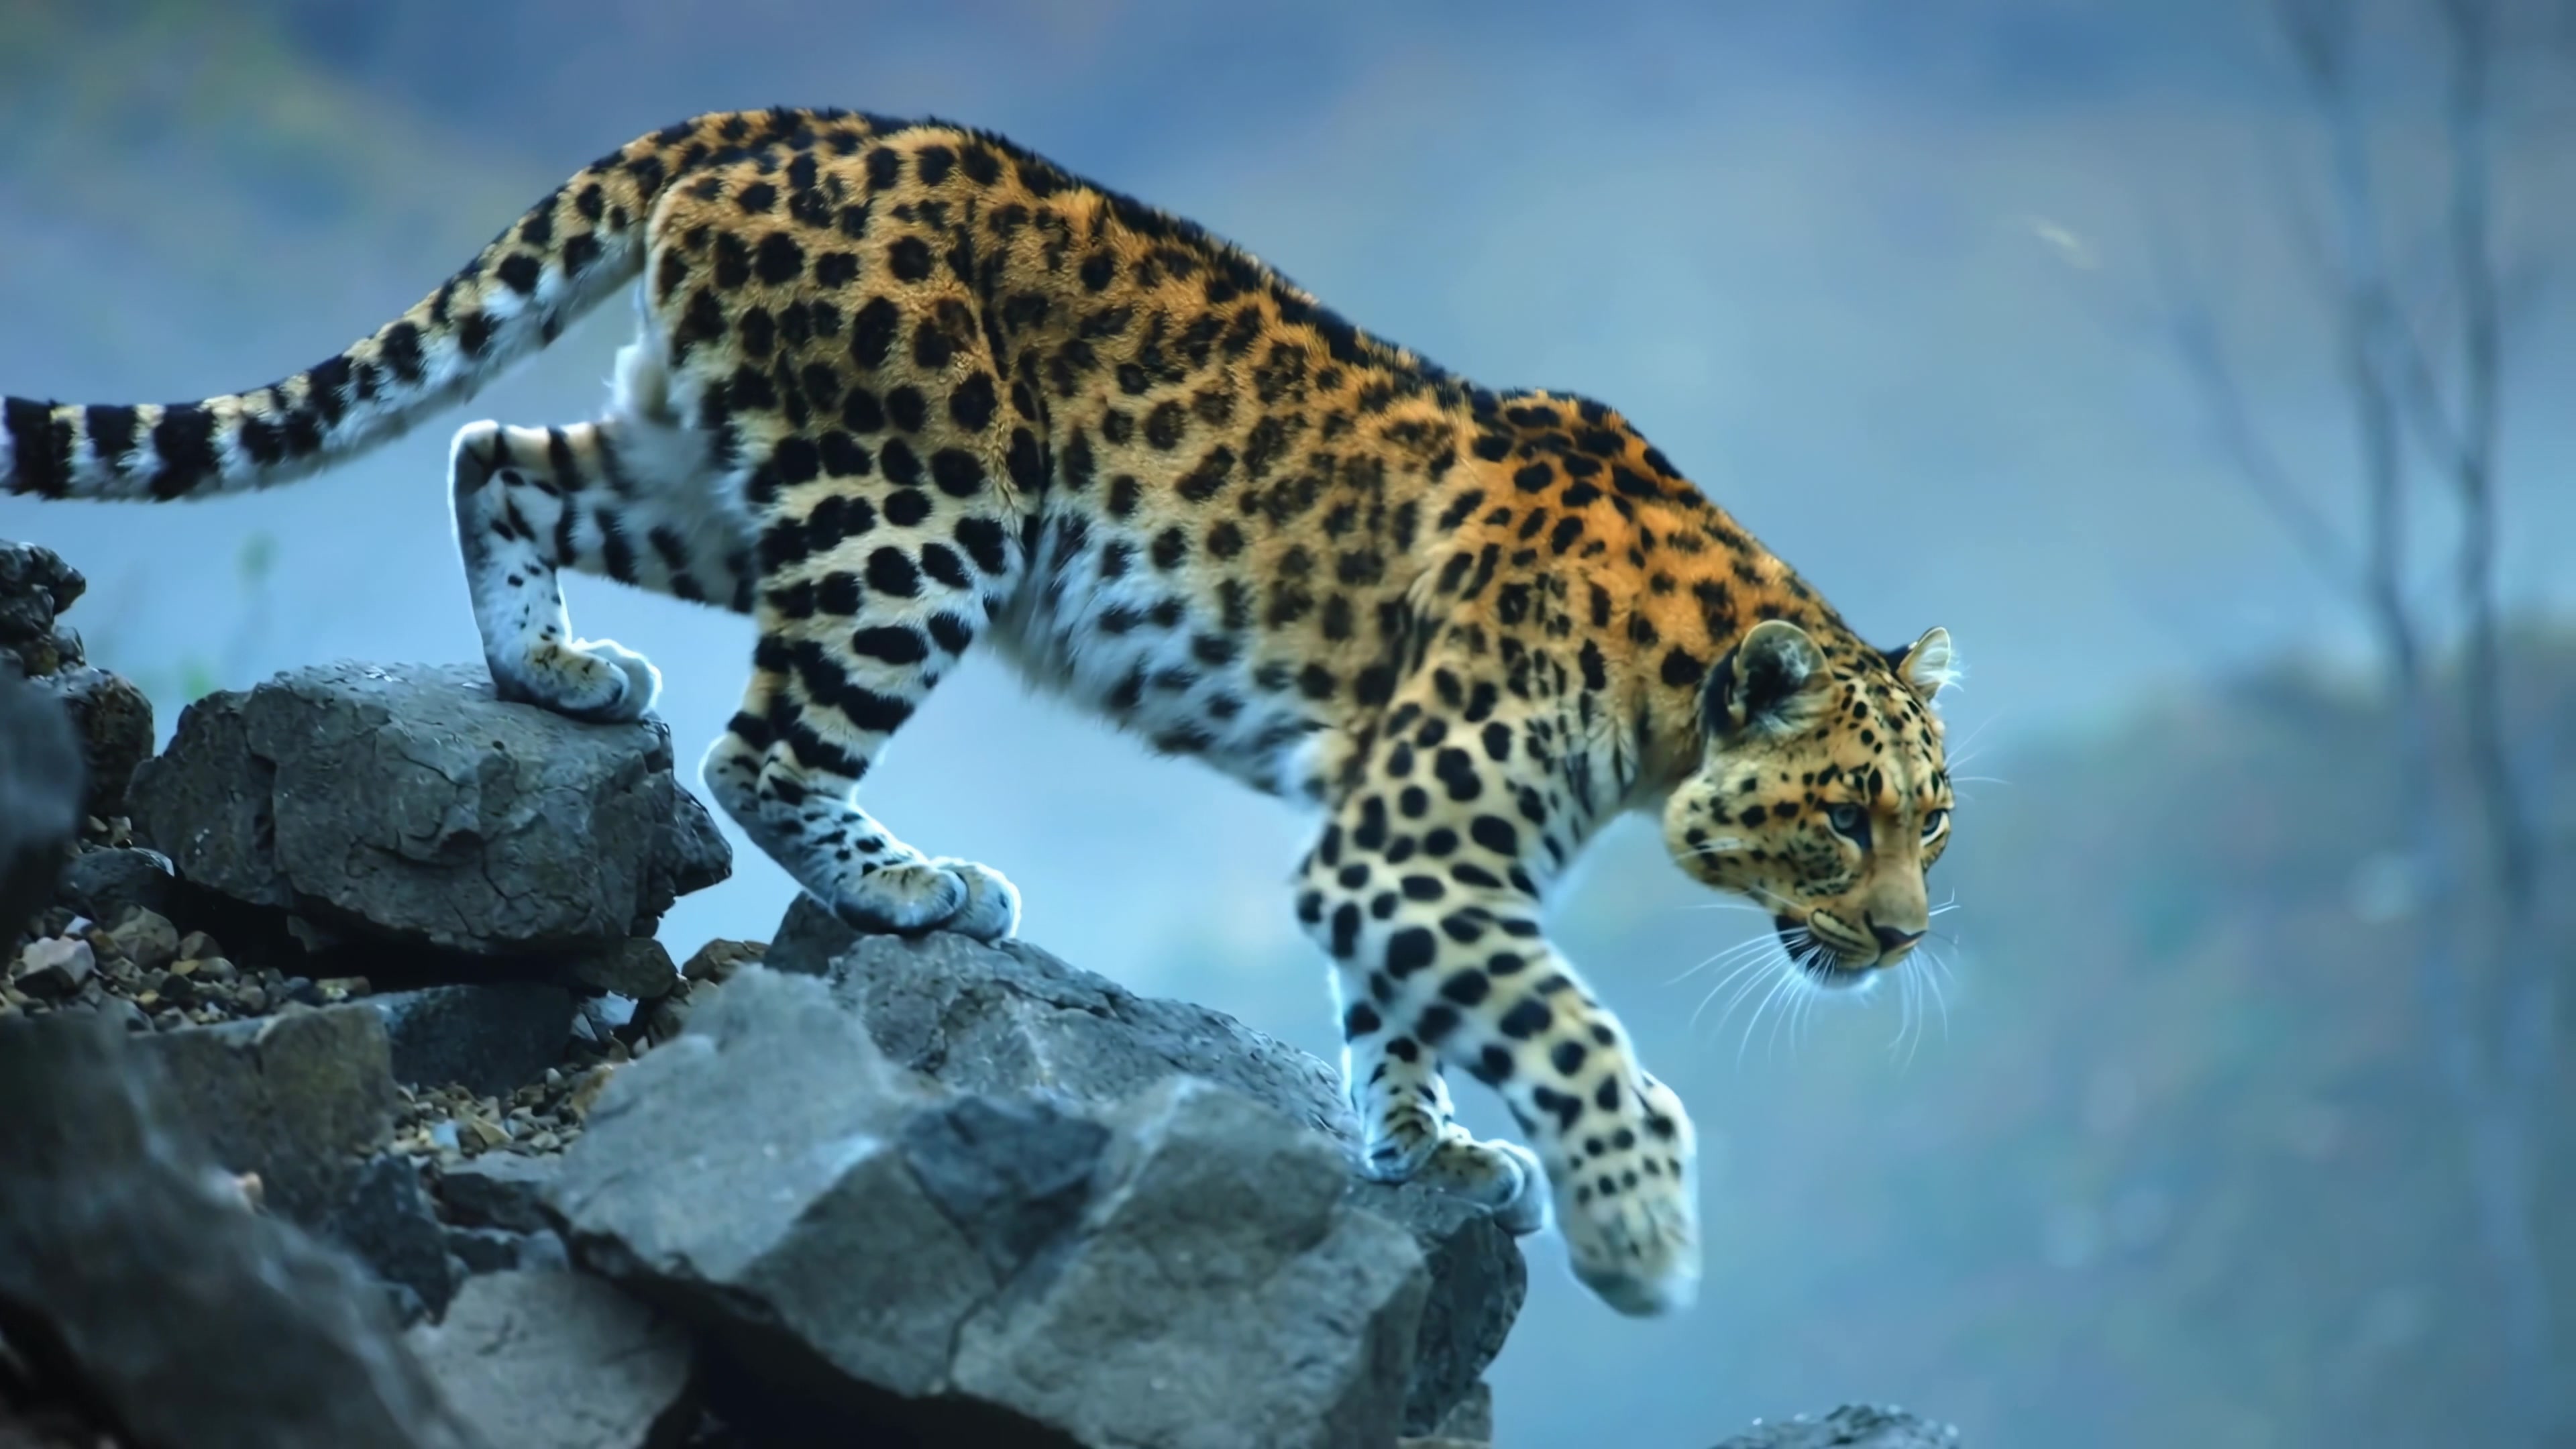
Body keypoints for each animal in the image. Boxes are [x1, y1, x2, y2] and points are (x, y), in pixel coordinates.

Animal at [2, 107, 1959, 1318]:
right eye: (1843, 818)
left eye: (1933, 825)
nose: (1904, 937)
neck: (1661, 692)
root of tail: (772, 122)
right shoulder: (1407, 847)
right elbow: (1568, 1028)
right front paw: (1635, 1228)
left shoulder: (1397, 856)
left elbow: (1418, 1011)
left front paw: (1421, 1141)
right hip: (925, 509)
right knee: (759, 741)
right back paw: (913, 883)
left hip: (726, 474)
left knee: (500, 452)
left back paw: (554, 671)